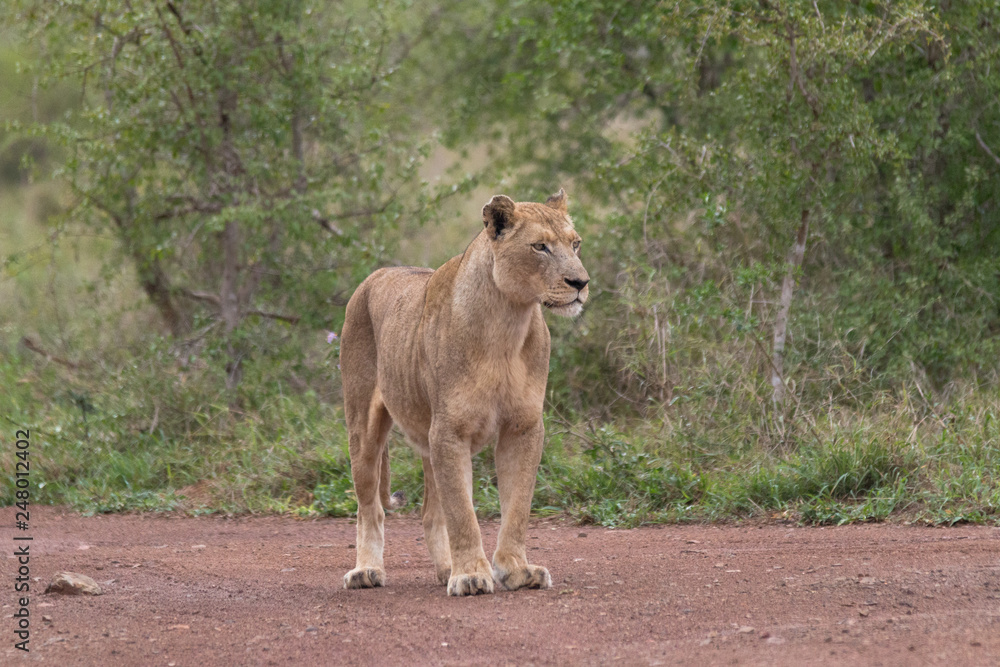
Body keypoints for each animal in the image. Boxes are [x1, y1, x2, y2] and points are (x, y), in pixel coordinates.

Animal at [340, 189, 589, 596]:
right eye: (540, 247)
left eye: (575, 244)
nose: (580, 282)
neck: (508, 323)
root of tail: (376, 275)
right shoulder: (450, 432)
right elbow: (463, 513)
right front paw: (471, 574)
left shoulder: (523, 428)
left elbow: (516, 507)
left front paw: (515, 570)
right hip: (364, 428)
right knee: (370, 508)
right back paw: (366, 571)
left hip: (427, 439)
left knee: (429, 512)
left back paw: (444, 569)